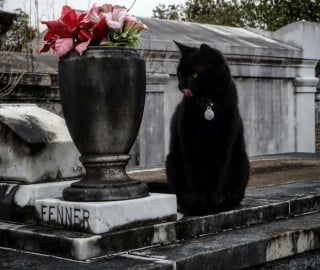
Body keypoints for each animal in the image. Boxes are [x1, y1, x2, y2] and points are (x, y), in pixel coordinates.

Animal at [166, 42, 251, 215]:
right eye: (179, 73)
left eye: (195, 74)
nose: (180, 85)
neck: (208, 102)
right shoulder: (189, 144)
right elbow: (194, 176)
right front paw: (199, 205)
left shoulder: (224, 144)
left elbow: (216, 176)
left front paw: (212, 205)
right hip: (172, 160)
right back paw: (186, 200)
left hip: (241, 159)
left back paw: (227, 199)